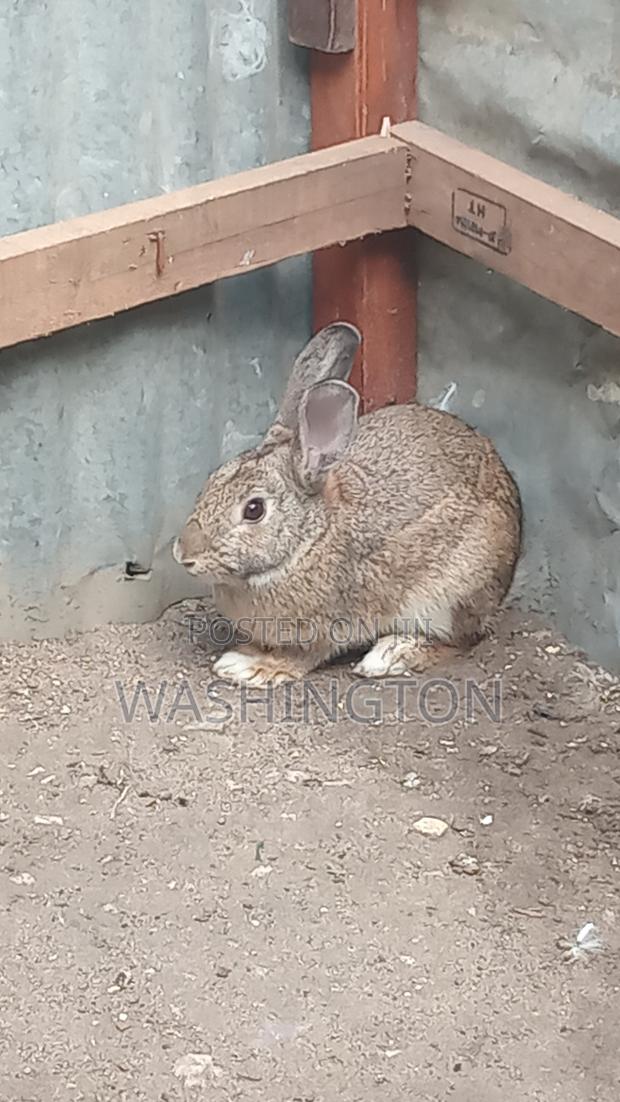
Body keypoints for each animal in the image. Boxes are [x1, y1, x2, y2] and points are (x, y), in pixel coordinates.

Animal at [172, 322, 522, 686]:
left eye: (254, 510)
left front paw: (251, 667)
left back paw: (389, 657)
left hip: (451, 594)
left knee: (460, 640)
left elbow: (303, 656)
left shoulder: (327, 626)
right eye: (213, 480)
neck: (309, 539)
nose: (184, 554)